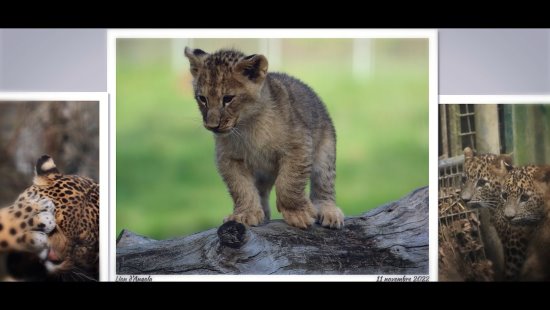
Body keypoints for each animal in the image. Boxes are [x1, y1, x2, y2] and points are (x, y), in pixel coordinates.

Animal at [188, 47, 348, 229]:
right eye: (202, 98)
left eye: (228, 99)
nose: (212, 126)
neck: (248, 125)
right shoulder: (228, 159)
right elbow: (241, 188)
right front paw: (246, 214)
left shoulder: (299, 145)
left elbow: (289, 183)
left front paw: (298, 214)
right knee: (261, 191)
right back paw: (263, 214)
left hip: (325, 151)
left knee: (324, 184)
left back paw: (329, 212)